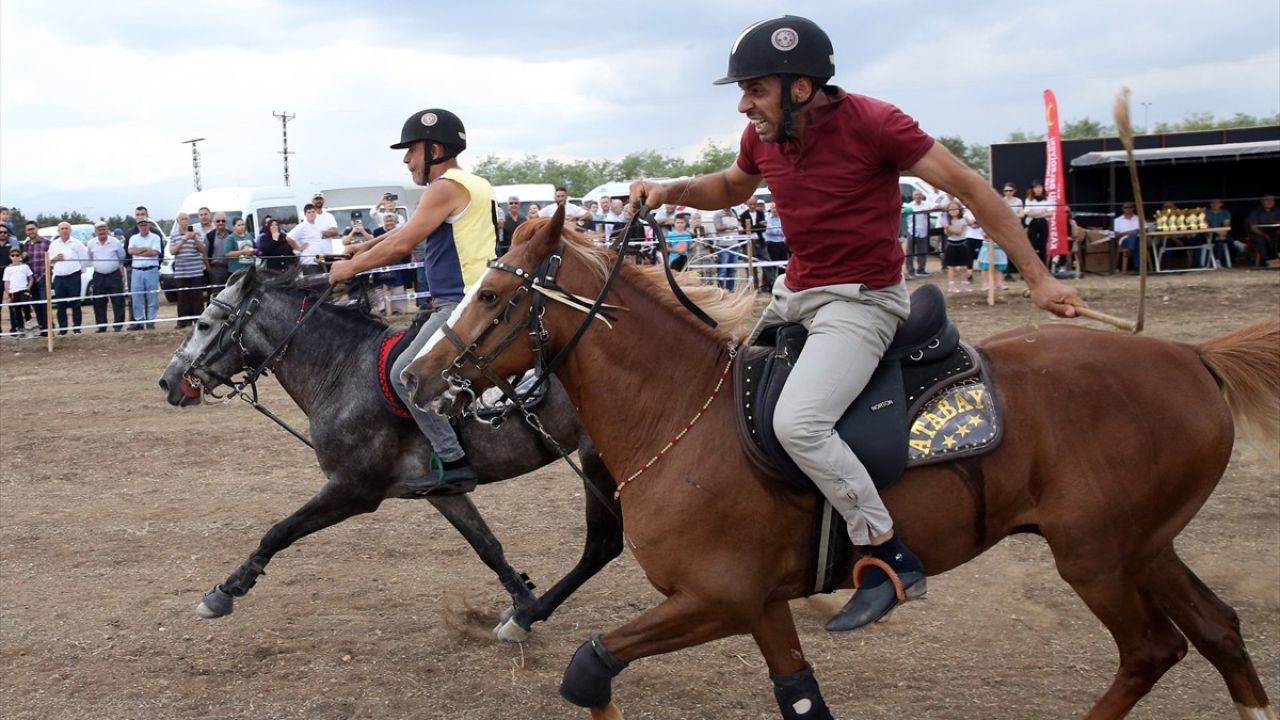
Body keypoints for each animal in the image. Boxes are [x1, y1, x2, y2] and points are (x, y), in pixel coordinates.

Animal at [154, 267, 624, 638]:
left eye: (205, 323)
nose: (168, 381)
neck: (343, 368)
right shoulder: (444, 491)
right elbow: (487, 546)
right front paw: (521, 598)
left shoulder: (354, 489)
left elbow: (279, 531)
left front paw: (226, 590)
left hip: (598, 465)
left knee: (603, 546)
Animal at [404, 208, 1274, 717]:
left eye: (492, 298)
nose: (415, 376)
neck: (683, 415)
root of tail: (1192, 357)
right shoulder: (759, 605)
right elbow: (799, 695)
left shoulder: (715, 599)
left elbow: (590, 668)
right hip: (1144, 546)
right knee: (1218, 631)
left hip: (1097, 556)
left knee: (1151, 651)